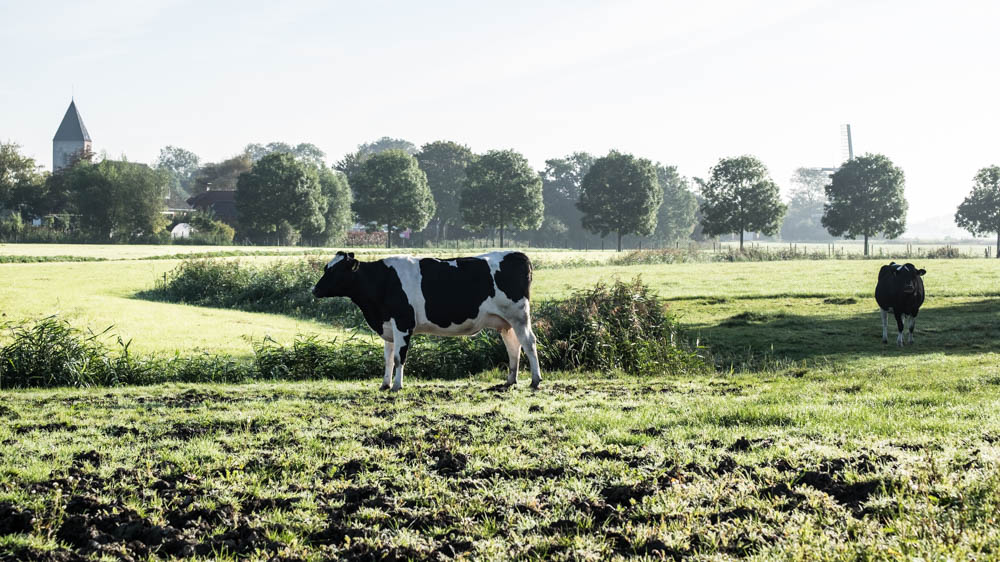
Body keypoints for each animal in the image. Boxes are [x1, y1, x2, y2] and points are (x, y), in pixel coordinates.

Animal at [312, 249, 544, 390]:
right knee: (513, 346)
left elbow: (399, 357)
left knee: (529, 343)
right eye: (326, 268)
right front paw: (384, 384)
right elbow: (387, 358)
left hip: (519, 316)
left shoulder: (403, 324)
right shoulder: (388, 327)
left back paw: (535, 380)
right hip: (505, 323)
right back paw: (510, 380)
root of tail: (517, 254)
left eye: (336, 271)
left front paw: (397, 386)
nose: (314, 289)